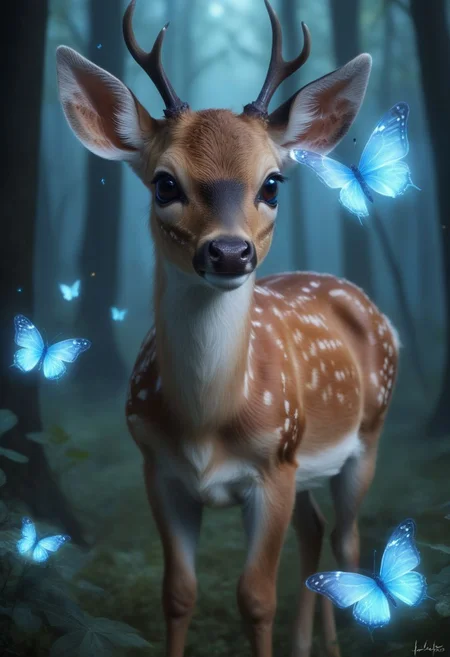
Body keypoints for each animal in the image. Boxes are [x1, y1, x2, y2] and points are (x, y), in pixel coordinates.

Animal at [55, 1, 399, 656]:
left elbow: (255, 598)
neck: (207, 423)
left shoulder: (275, 466)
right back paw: (305, 645)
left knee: (347, 541)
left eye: (272, 183)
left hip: (365, 437)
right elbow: (178, 593)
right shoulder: (157, 469)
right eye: (165, 182)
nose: (229, 252)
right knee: (315, 532)